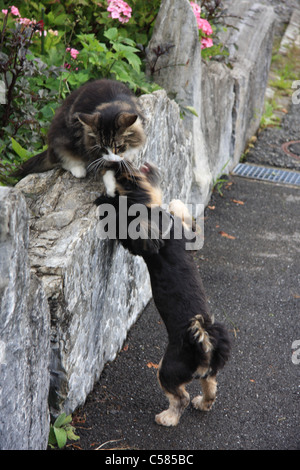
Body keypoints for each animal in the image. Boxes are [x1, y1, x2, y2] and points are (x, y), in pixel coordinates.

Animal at [12, 79, 146, 178]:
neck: (113, 101)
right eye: (102, 147)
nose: (112, 160)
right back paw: (79, 170)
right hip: (62, 139)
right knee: (62, 159)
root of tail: (49, 149)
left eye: (118, 147)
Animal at [95, 163, 231, 428]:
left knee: (180, 397)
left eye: (126, 177)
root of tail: (204, 346)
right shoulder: (189, 237)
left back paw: (167, 418)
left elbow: (126, 228)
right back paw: (203, 403)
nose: (115, 165)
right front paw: (175, 205)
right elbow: (182, 214)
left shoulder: (141, 239)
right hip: (207, 373)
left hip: (167, 369)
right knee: (210, 387)